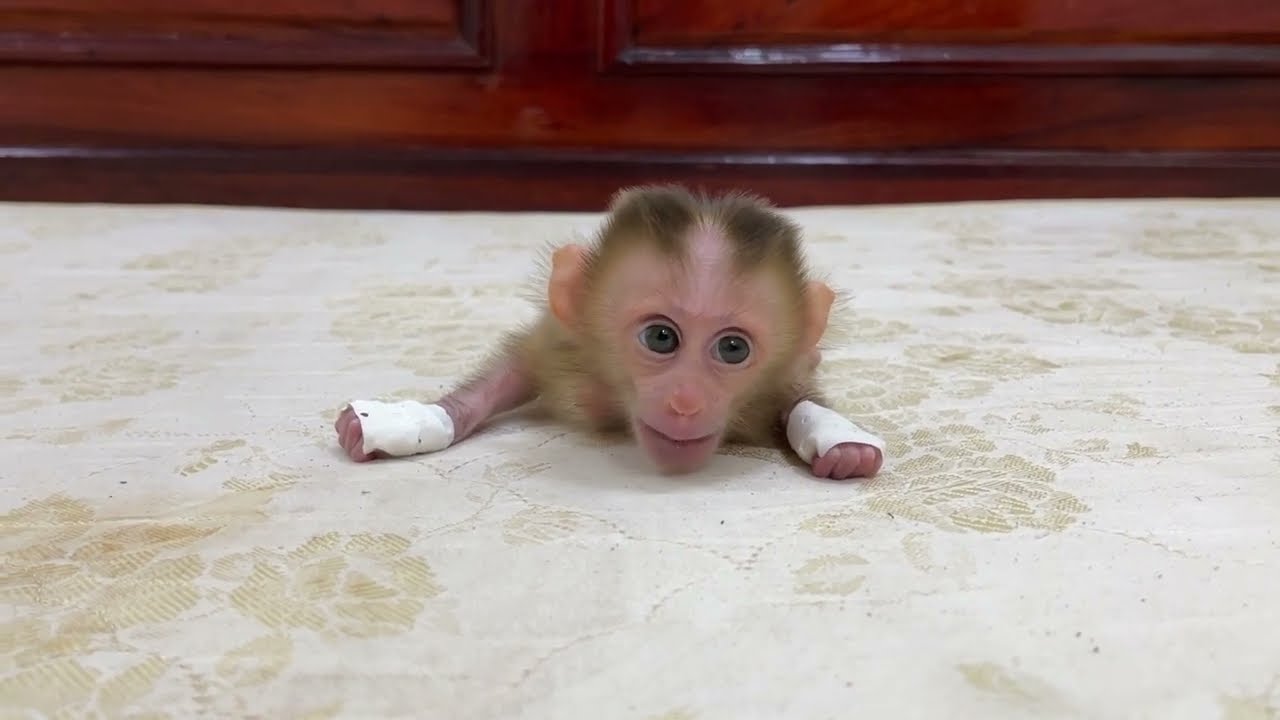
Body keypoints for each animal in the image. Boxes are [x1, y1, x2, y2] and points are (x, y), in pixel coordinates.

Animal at [334, 185, 886, 480]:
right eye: (661, 338)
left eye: (733, 348)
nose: (686, 401)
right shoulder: (569, 346)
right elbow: (515, 371)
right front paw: (405, 420)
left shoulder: (783, 374)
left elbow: (799, 397)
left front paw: (843, 444)